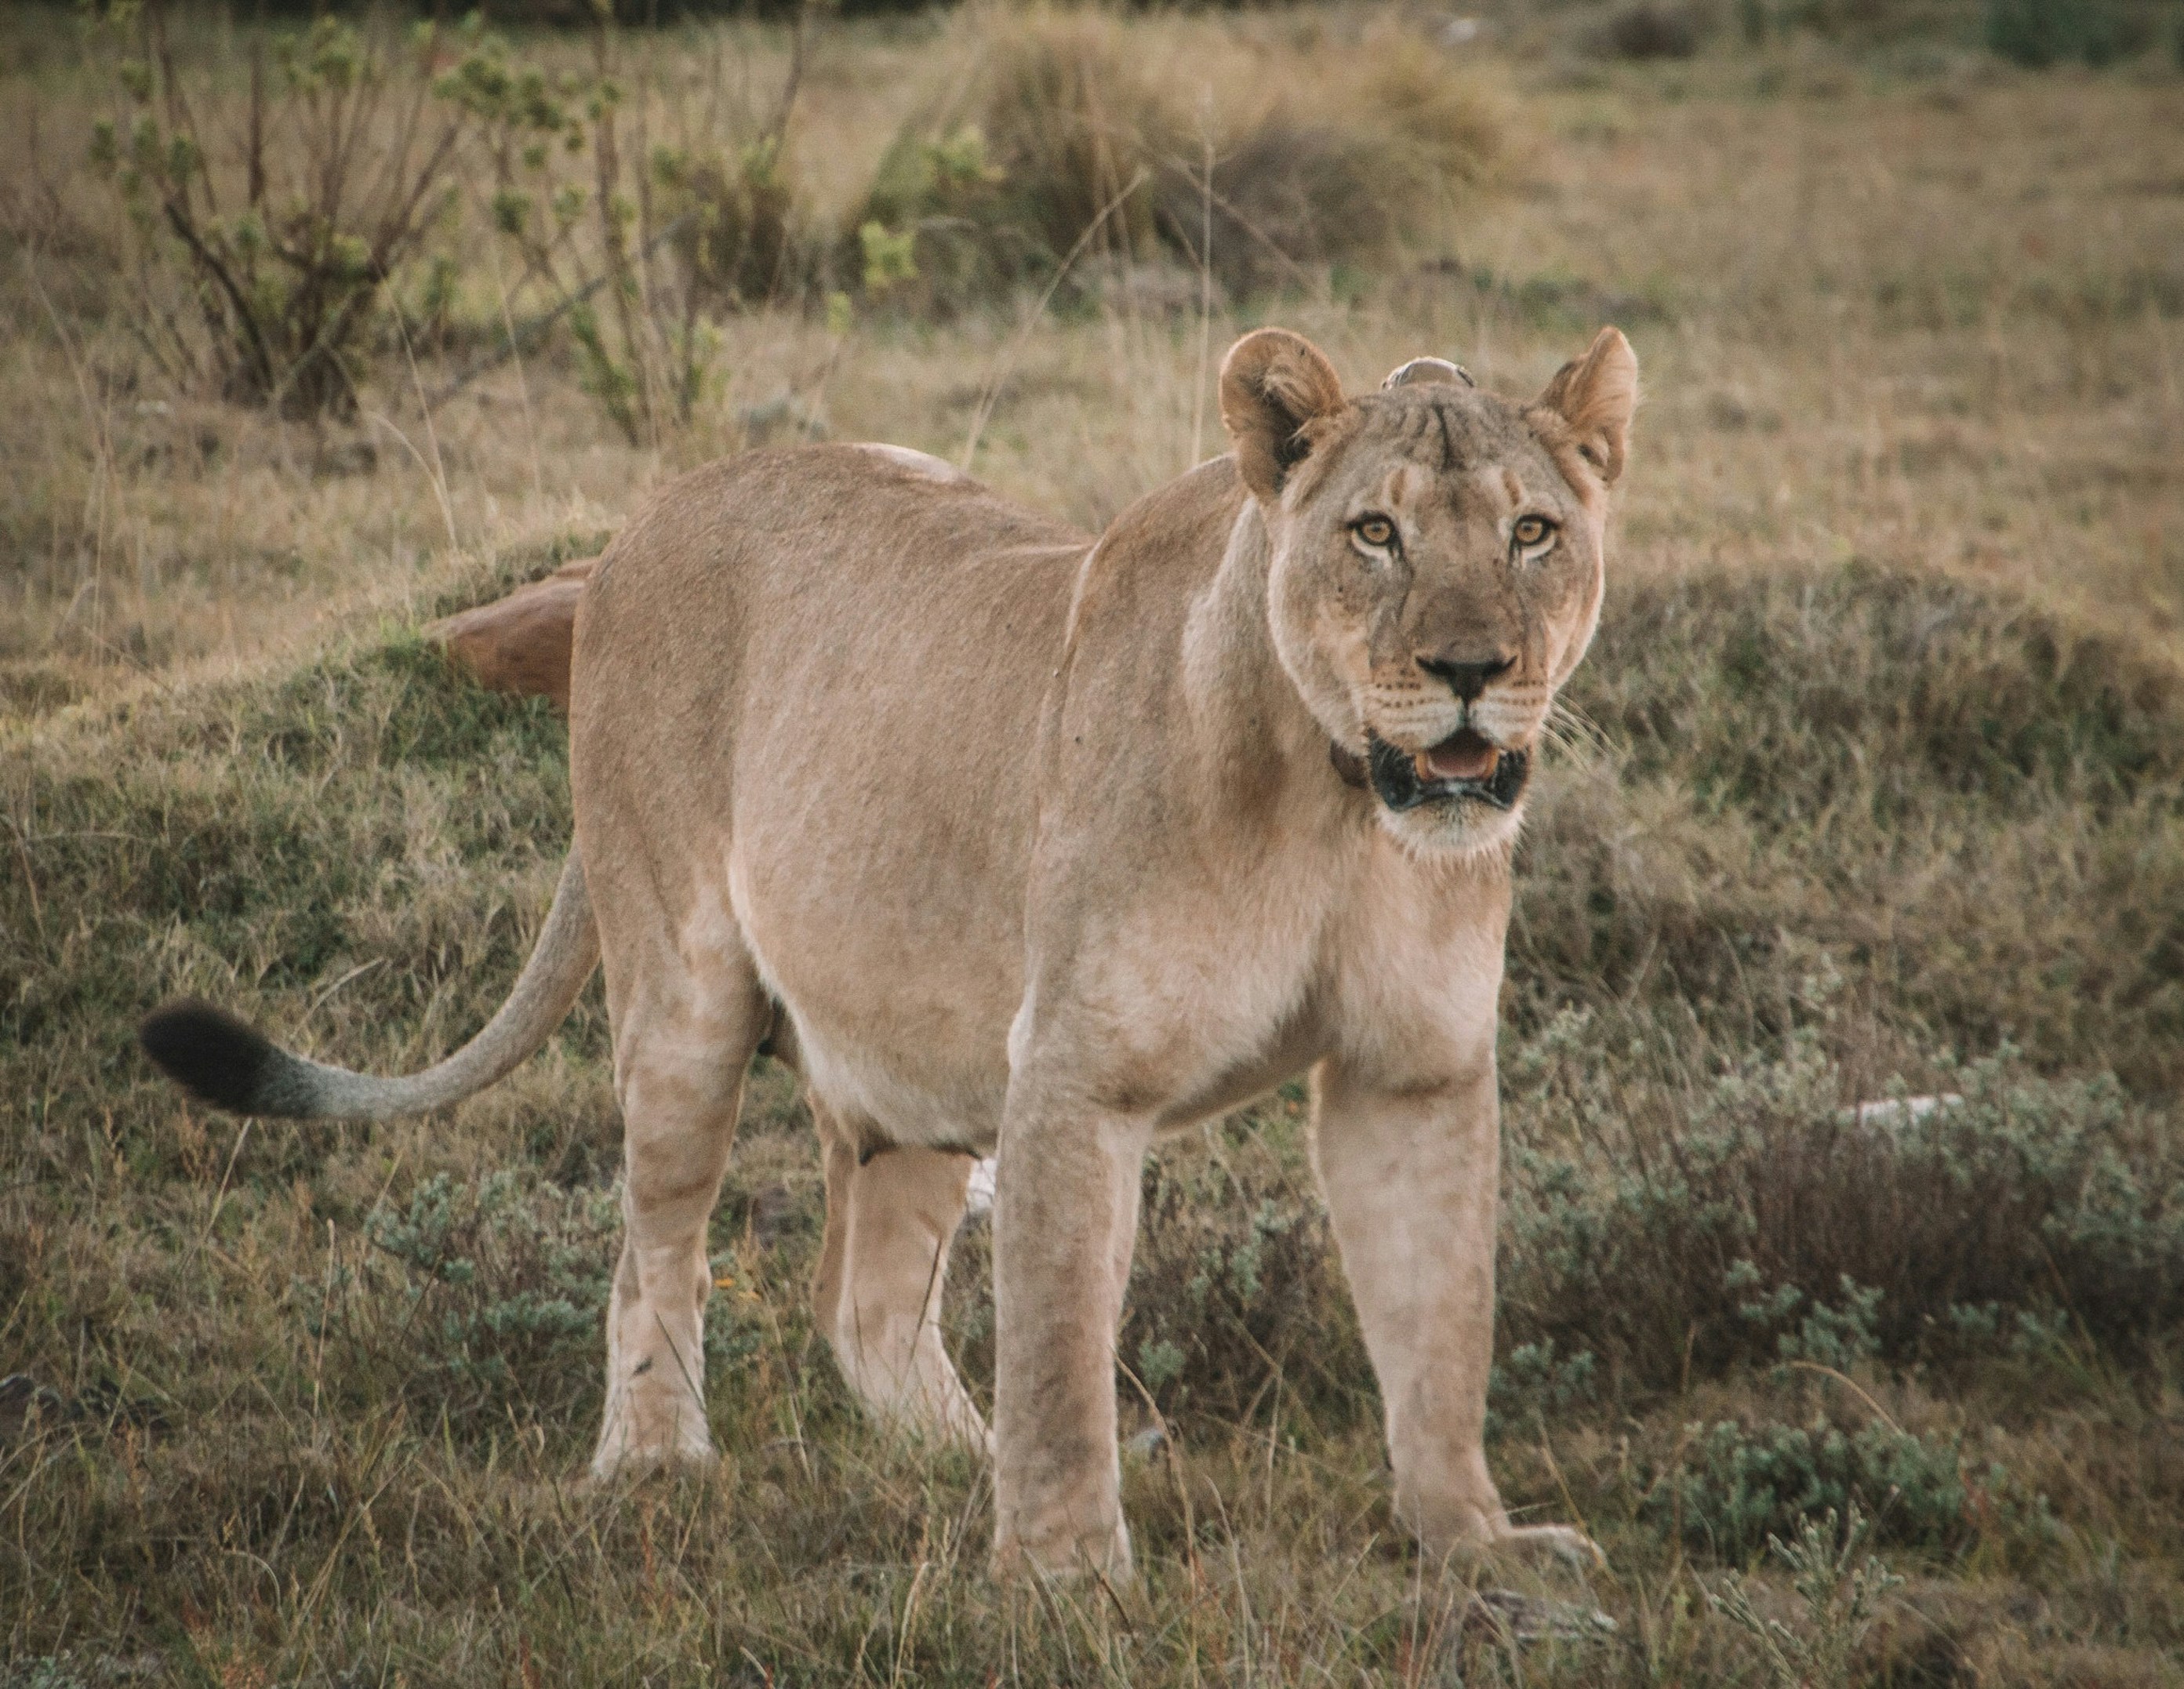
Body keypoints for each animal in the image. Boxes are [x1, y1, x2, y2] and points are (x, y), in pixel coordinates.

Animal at [140, 325, 1638, 1581]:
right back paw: (657, 1462)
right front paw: (1063, 1575)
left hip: (921, 1060)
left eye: (1534, 531)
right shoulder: (1076, 1075)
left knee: (859, 1304)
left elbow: (1439, 1326)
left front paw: (1477, 1542)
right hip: (683, 993)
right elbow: (1057, 1340)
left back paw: (955, 1464)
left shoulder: (1414, 1072)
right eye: (1375, 531)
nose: (1471, 670)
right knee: (654, 1243)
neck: (1338, 807)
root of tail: (640, 525)